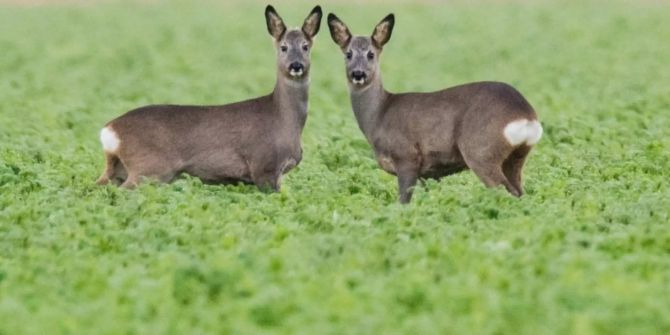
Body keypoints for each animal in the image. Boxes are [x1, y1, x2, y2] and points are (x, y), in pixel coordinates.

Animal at [96, 5, 324, 192]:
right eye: (283, 47)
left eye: (305, 46)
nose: (296, 65)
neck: (285, 120)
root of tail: (109, 130)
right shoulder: (264, 167)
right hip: (148, 169)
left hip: (118, 167)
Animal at [328, 13, 544, 203]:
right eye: (348, 54)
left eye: (371, 54)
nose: (358, 74)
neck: (379, 114)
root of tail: (526, 115)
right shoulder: (427, 173)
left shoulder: (406, 157)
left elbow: (403, 202)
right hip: (517, 156)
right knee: (519, 192)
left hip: (481, 151)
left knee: (505, 191)